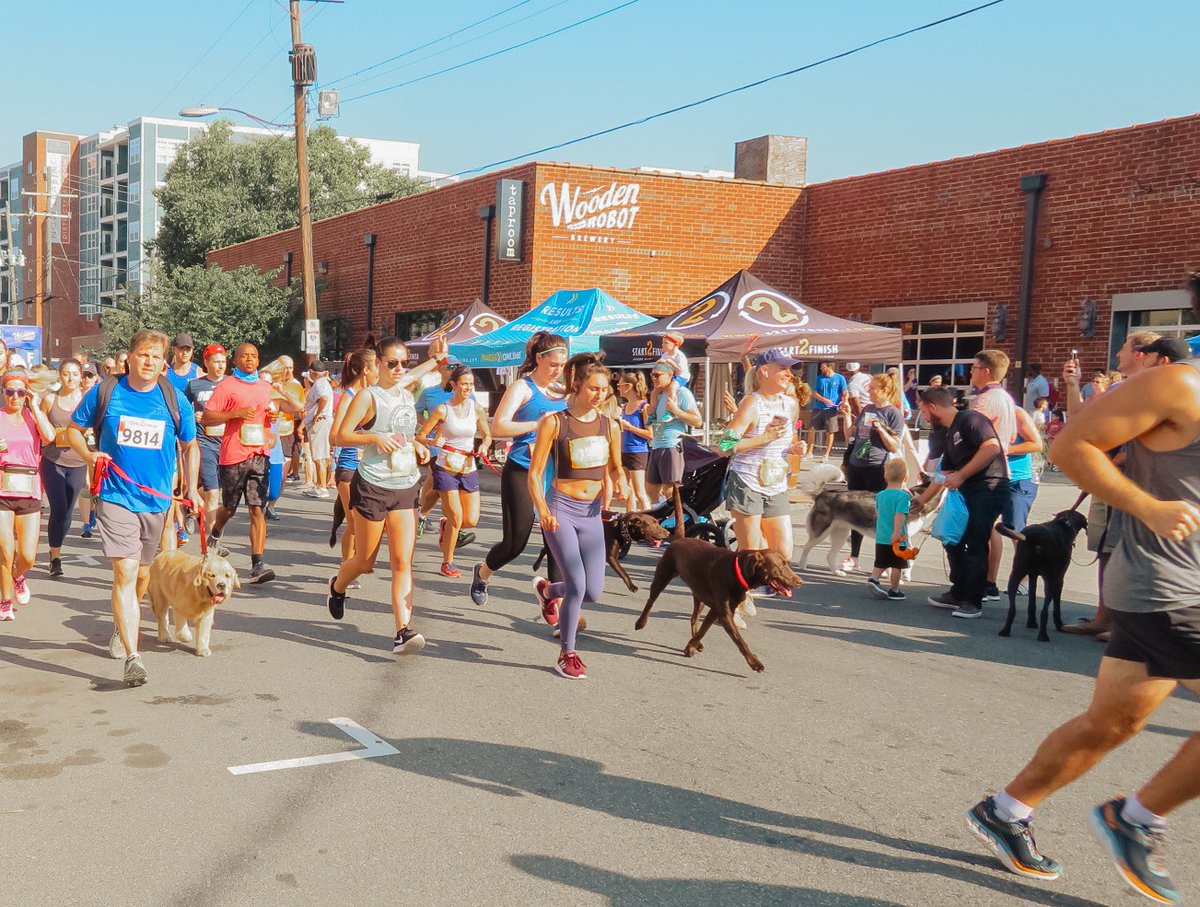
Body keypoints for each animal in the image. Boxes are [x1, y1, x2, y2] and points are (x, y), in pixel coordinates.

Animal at [532, 511, 672, 595]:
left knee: (545, 550)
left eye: (658, 523)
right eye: (653, 525)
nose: (668, 533)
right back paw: (536, 566)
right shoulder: (611, 557)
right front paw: (632, 586)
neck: (620, 528)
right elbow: (624, 573)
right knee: (546, 550)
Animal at [633, 537, 801, 671]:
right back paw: (640, 622)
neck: (738, 571)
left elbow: (702, 631)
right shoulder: (724, 613)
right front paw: (754, 662)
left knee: (694, 618)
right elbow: (740, 640)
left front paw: (691, 646)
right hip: (663, 575)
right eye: (781, 566)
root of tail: (680, 538)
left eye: (787, 563)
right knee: (650, 601)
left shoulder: (717, 610)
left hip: (699, 594)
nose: (800, 581)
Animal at [993, 506, 1089, 643]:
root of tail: (1034, 538)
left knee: (1012, 608)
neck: (1065, 523)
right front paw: (1059, 624)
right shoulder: (1059, 578)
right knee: (1044, 611)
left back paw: (1005, 630)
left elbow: (1032, 600)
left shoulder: (1033, 575)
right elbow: (1056, 605)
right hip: (1049, 580)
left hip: (1016, 573)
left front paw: (1031, 622)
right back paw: (1043, 635)